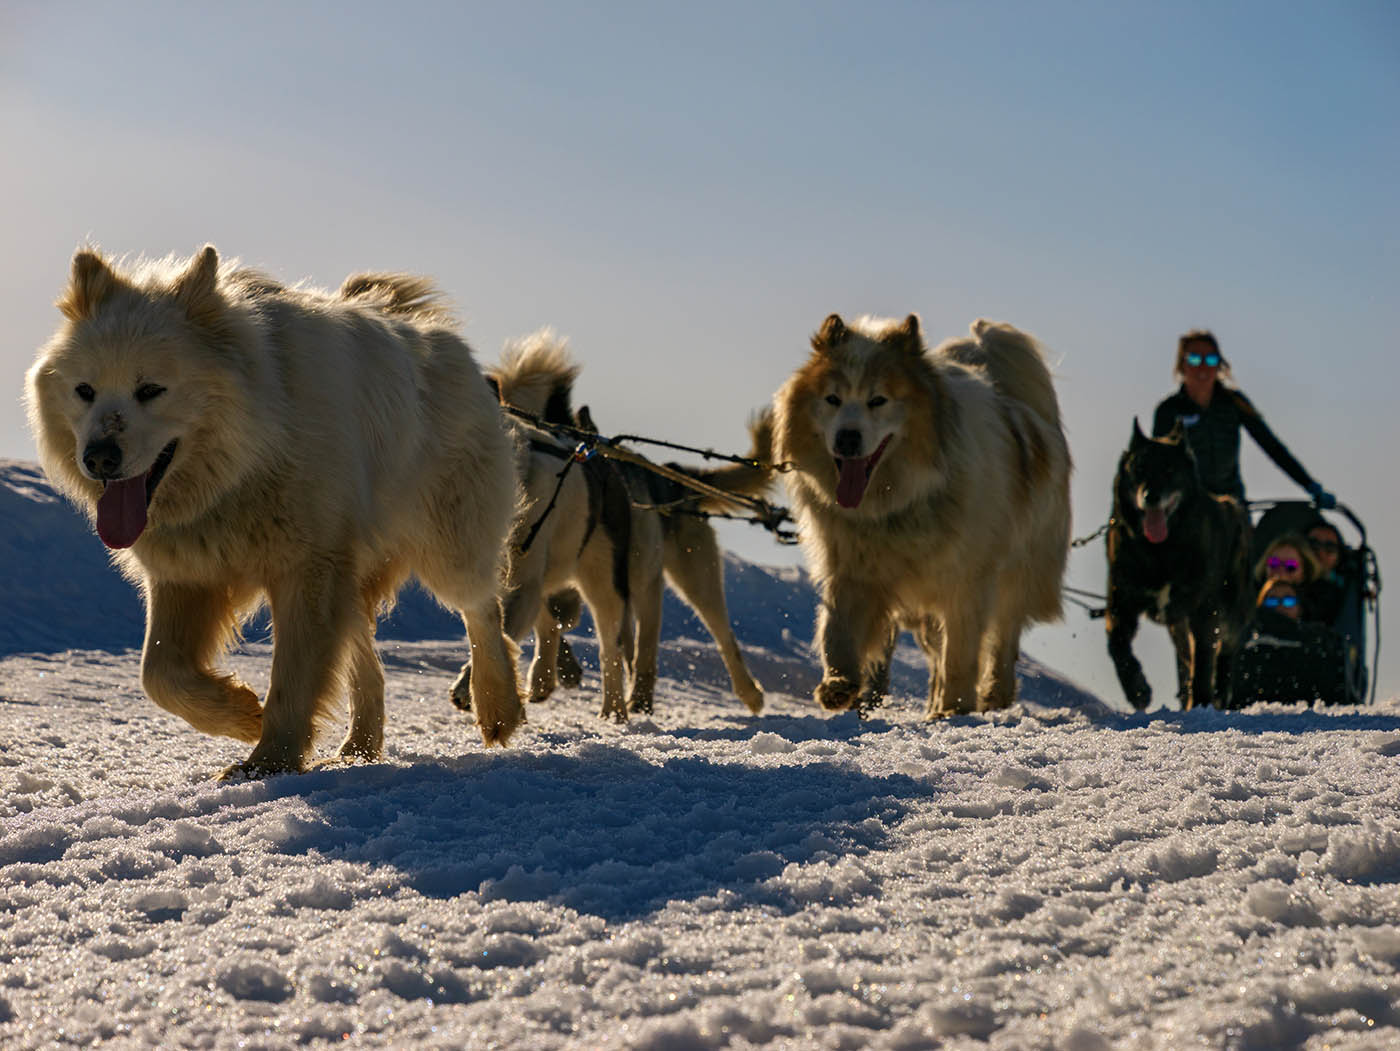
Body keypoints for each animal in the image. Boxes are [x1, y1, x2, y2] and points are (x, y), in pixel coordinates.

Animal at [28, 244, 526, 772]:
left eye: (150, 390)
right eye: (85, 391)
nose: (98, 458)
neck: (247, 458)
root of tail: (438, 333)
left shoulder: (308, 569)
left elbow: (293, 678)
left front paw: (269, 760)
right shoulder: (186, 575)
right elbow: (159, 674)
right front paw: (242, 713)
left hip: (446, 546)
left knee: (484, 610)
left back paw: (498, 707)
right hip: (354, 578)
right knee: (369, 666)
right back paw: (359, 749)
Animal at [778, 316, 1069, 722]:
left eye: (878, 400)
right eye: (832, 399)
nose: (847, 439)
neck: (900, 501)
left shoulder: (968, 581)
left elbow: (962, 655)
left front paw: (957, 709)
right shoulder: (852, 568)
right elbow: (836, 630)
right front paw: (838, 685)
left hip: (1019, 572)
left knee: (1003, 636)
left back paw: (993, 695)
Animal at [1108, 422, 1254, 710]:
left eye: (1169, 469)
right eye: (1139, 468)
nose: (1151, 496)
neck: (1160, 550)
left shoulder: (1204, 611)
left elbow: (1204, 662)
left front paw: (1202, 703)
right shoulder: (1122, 601)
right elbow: (1117, 645)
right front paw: (1137, 688)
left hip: (1230, 612)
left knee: (1226, 650)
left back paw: (1219, 693)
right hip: (1178, 626)